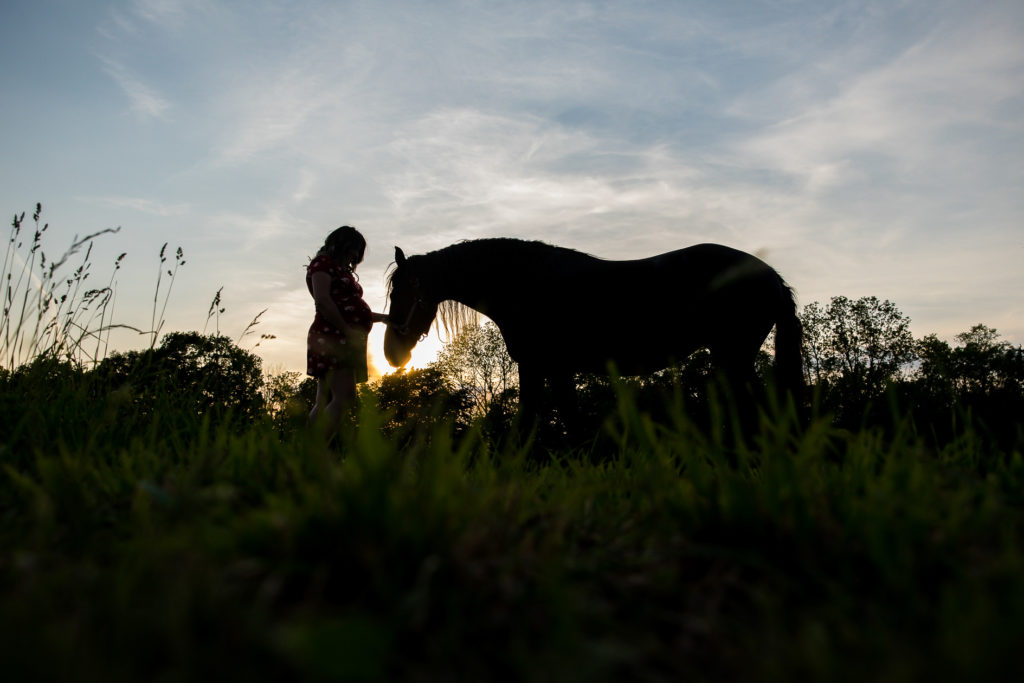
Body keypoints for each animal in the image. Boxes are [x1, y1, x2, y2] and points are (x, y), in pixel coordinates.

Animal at [385, 241, 798, 428]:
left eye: (404, 292)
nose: (391, 354)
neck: (524, 283)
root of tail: (772, 277)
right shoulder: (554, 369)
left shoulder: (538, 367)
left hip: (734, 357)